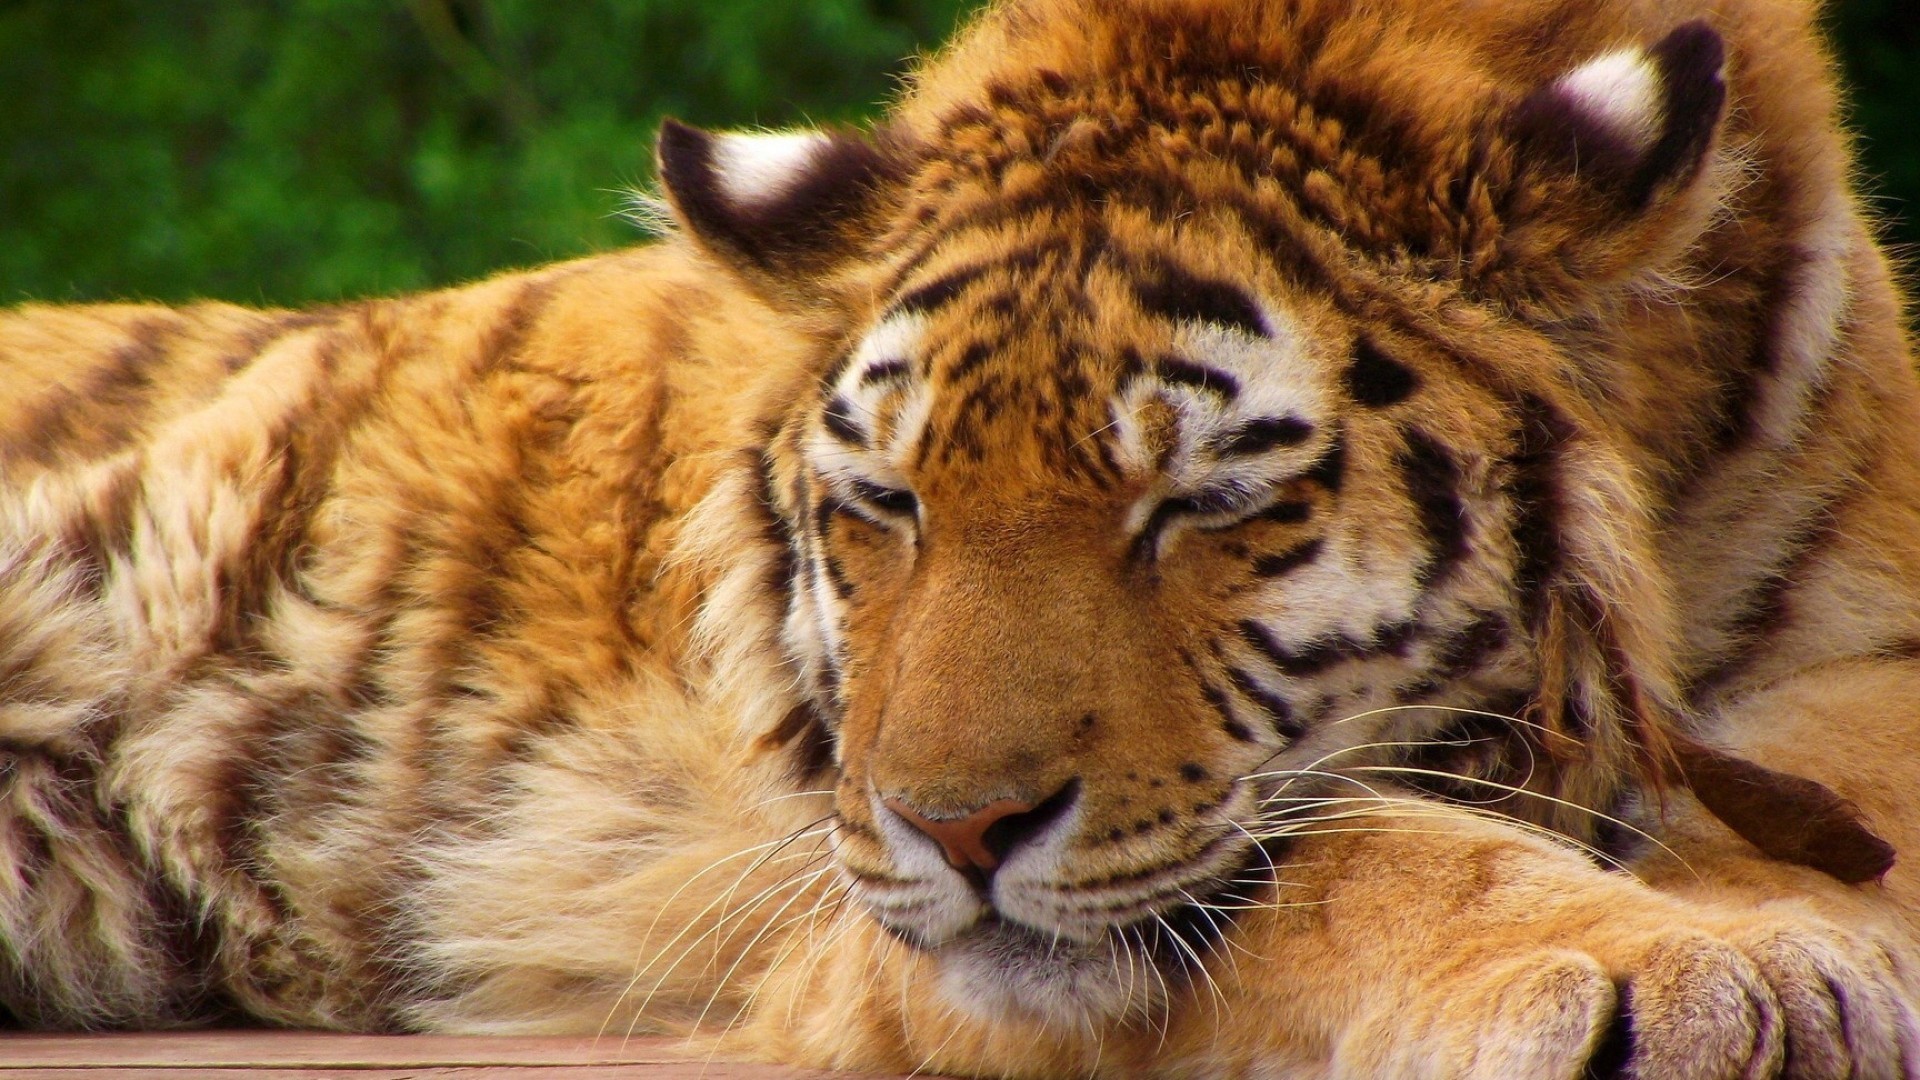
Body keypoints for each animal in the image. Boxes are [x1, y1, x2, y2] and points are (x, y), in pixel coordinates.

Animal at [5, 0, 1920, 1075]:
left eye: (1202, 502)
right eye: (891, 505)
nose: (956, 832)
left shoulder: (1864, 646)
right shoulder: (871, 919)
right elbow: (1355, 850)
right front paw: (1689, 966)